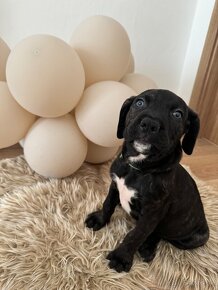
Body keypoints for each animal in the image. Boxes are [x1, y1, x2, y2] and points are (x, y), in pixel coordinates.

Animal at [84, 89, 208, 274]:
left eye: (177, 114)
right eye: (139, 103)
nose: (150, 123)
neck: (138, 169)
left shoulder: (152, 211)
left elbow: (137, 234)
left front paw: (121, 257)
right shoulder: (115, 185)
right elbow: (108, 204)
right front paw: (99, 219)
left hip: (193, 238)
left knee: (159, 233)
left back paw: (147, 248)